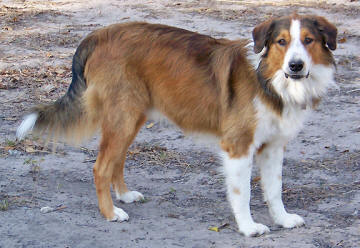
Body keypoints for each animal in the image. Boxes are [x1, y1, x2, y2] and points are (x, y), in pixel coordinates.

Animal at [16, 13, 338, 236]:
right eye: (282, 42)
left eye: (308, 40)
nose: (296, 65)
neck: (268, 78)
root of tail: (99, 34)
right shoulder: (238, 147)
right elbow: (243, 193)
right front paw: (248, 227)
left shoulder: (273, 147)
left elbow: (274, 190)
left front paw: (283, 219)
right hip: (123, 117)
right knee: (100, 167)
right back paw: (110, 212)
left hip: (132, 117)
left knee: (117, 160)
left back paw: (124, 195)